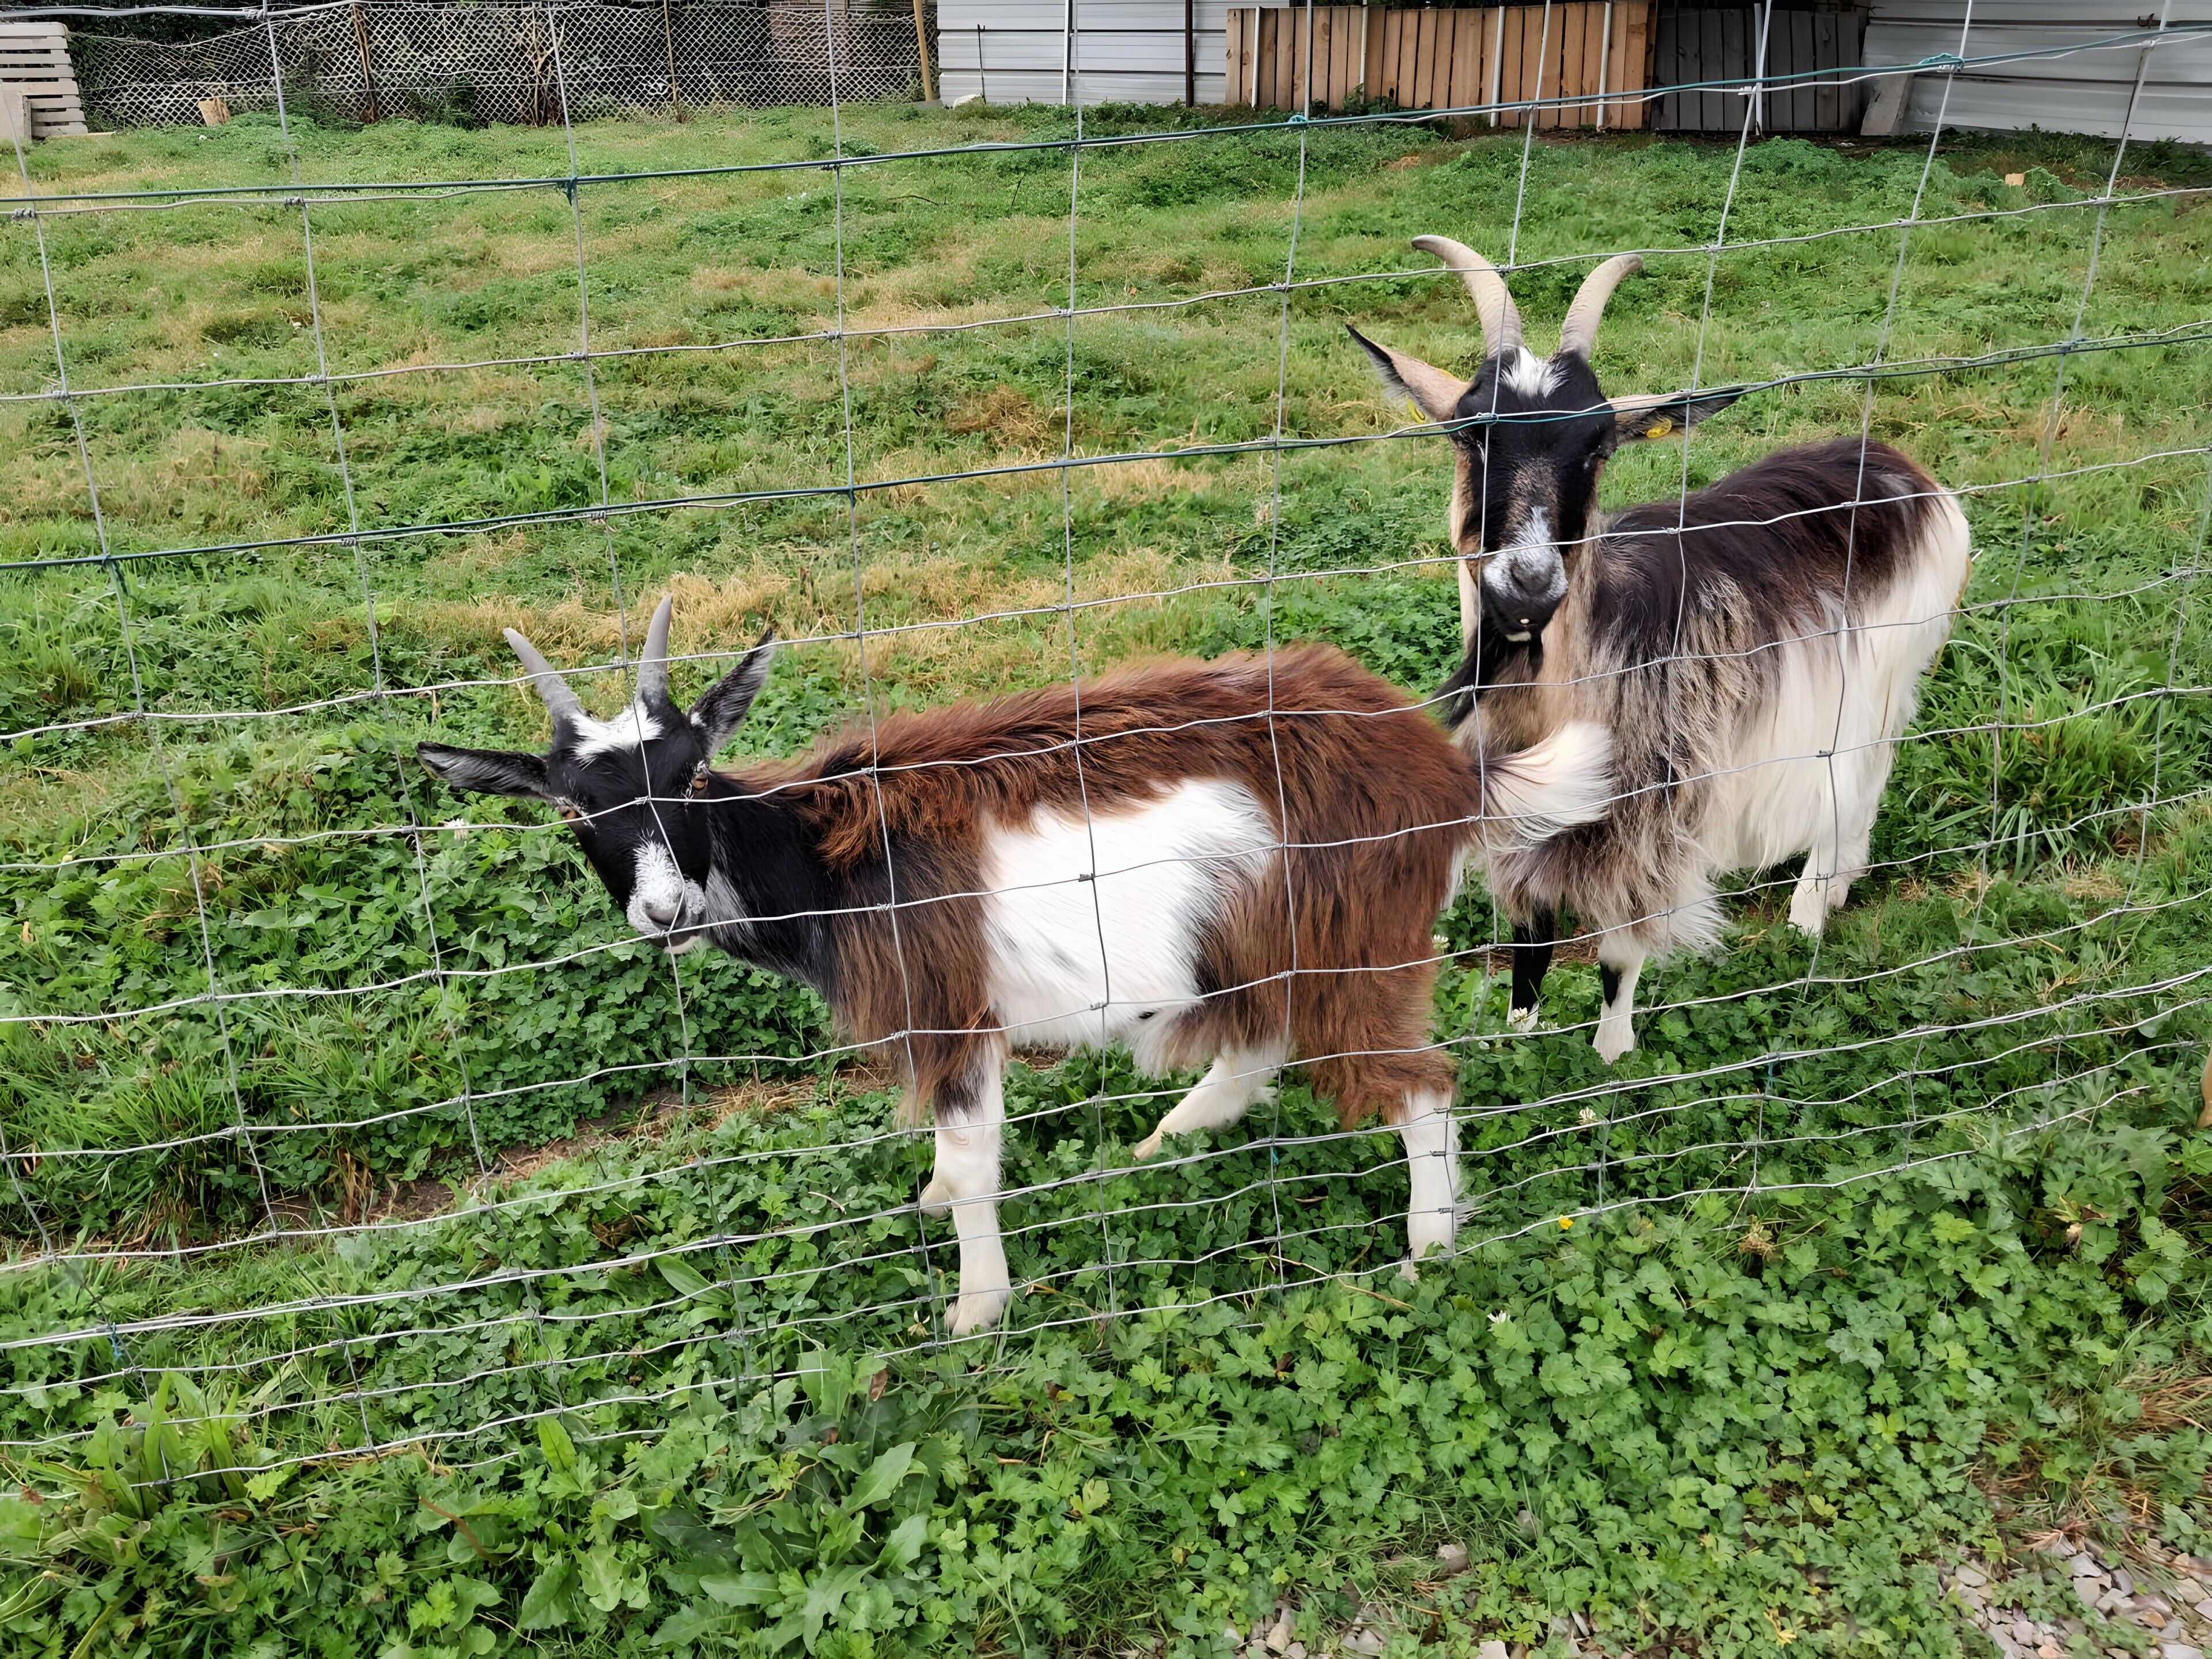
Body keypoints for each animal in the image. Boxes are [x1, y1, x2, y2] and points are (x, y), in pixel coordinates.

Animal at [418, 597, 1611, 1333]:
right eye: (578, 809)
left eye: (690, 775)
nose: (663, 910)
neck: (824, 855)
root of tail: (1442, 772)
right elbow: (958, 1166)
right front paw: (934, 1208)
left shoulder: (951, 1006)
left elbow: (977, 1156)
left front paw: (974, 1309)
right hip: (1256, 938)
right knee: (1260, 1049)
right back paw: (1161, 1144)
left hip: (1353, 940)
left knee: (1421, 1086)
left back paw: (1426, 1247)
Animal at [1350, 238, 1971, 1062]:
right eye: (1469, 432)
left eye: (1599, 445)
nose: (1527, 587)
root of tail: (1905, 468)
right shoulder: (1526, 818)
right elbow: (1529, 940)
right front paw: (1519, 1036)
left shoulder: (1649, 819)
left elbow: (1619, 958)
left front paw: (1613, 1059)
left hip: (1888, 678)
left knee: (1862, 776)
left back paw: (1811, 911)